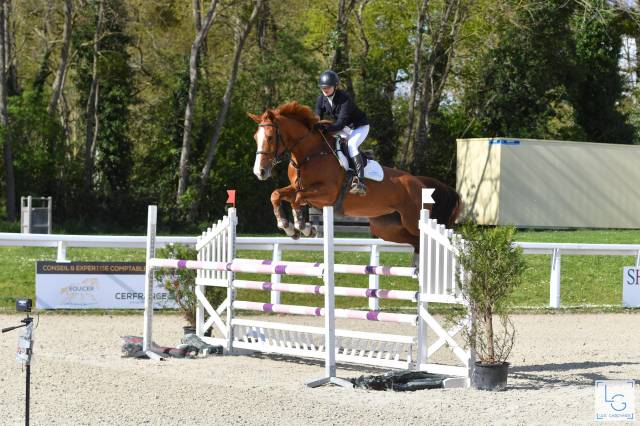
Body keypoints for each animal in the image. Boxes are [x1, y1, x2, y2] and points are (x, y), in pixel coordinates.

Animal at [248, 101, 461, 259]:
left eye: (269, 137)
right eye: (255, 137)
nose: (260, 171)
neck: (309, 154)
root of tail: (421, 184)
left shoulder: (327, 194)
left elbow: (297, 199)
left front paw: (303, 228)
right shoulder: (297, 187)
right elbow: (277, 195)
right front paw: (288, 226)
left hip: (412, 219)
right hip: (386, 226)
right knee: (416, 242)